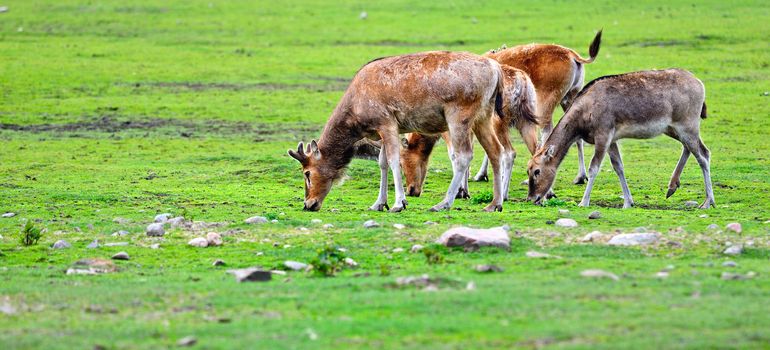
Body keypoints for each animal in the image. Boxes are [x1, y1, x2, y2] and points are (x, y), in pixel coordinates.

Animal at [288, 50, 510, 212]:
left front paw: (398, 203)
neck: (356, 114)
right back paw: (494, 204)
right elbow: (382, 162)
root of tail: (496, 70)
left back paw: (443, 203)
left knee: (464, 155)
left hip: (459, 115)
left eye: (307, 173)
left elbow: (394, 160)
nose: (308, 204)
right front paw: (378, 203)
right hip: (484, 116)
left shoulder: (386, 122)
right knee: (496, 151)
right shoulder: (382, 130)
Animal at [396, 30, 600, 197]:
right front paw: (474, 180)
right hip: (568, 100)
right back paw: (576, 178)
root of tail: (574, 56)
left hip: (541, 107)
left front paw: (464, 188)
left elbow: (458, 154)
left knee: (540, 138)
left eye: (401, 162)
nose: (411, 190)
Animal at [524, 69, 712, 209]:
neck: (583, 117)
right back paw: (672, 187)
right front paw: (628, 202)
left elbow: (594, 168)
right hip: (673, 128)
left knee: (703, 154)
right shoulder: (612, 139)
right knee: (690, 148)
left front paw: (583, 202)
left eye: (537, 171)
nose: (532, 198)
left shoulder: (603, 133)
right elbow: (618, 166)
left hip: (687, 124)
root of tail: (700, 84)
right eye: (528, 170)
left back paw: (707, 202)